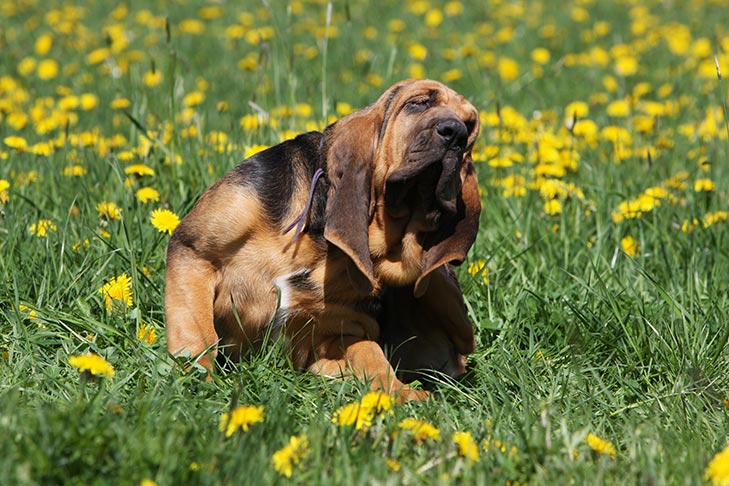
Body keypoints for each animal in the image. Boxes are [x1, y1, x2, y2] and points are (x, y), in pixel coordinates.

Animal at [166, 79, 484, 398]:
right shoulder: (193, 250)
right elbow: (197, 331)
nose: (456, 133)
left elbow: (370, 354)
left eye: (470, 126)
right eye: (418, 103)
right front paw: (197, 383)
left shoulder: (337, 333)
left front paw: (401, 394)